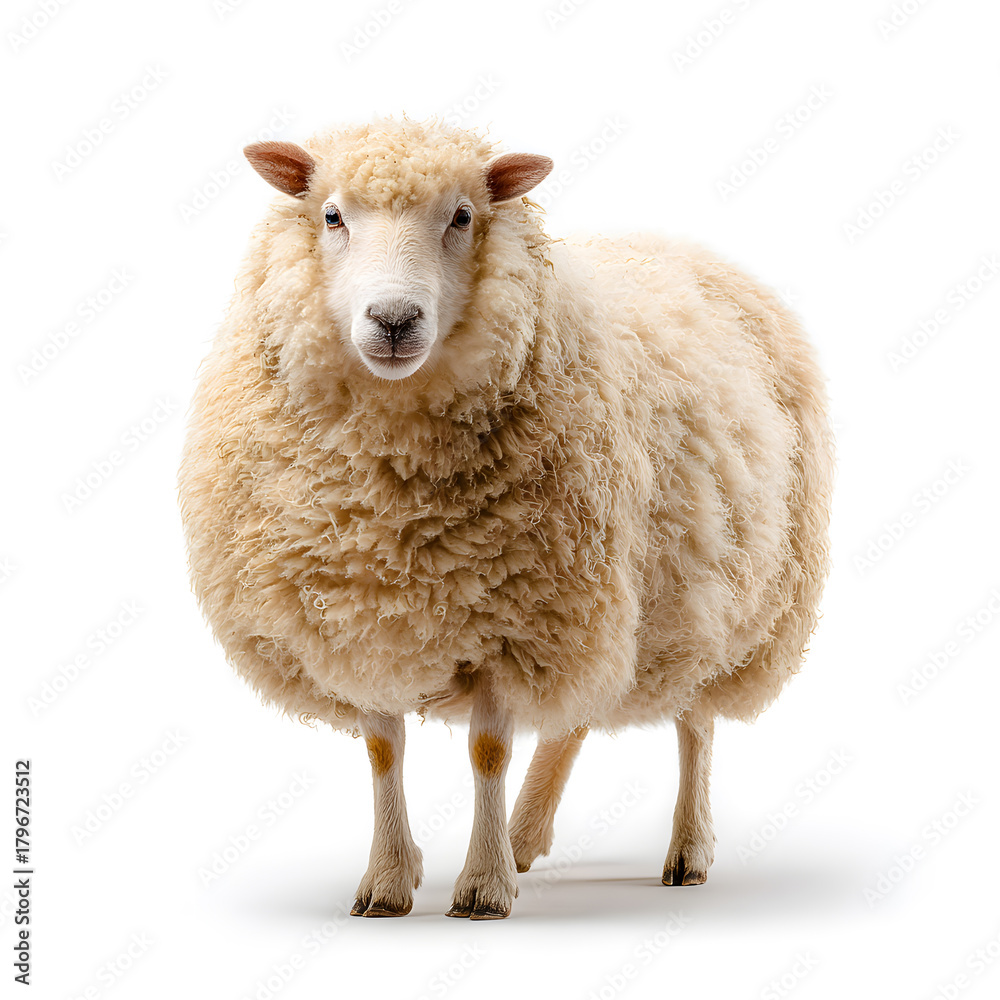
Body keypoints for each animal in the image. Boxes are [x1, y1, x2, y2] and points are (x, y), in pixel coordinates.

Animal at [178, 117, 833, 920]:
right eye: (331, 216)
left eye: (462, 216)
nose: (394, 321)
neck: (393, 496)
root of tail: (688, 249)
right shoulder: (361, 622)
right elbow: (384, 750)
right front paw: (390, 881)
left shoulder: (513, 621)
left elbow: (488, 752)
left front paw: (483, 886)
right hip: (618, 605)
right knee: (579, 715)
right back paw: (526, 836)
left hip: (713, 601)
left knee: (694, 722)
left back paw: (685, 849)